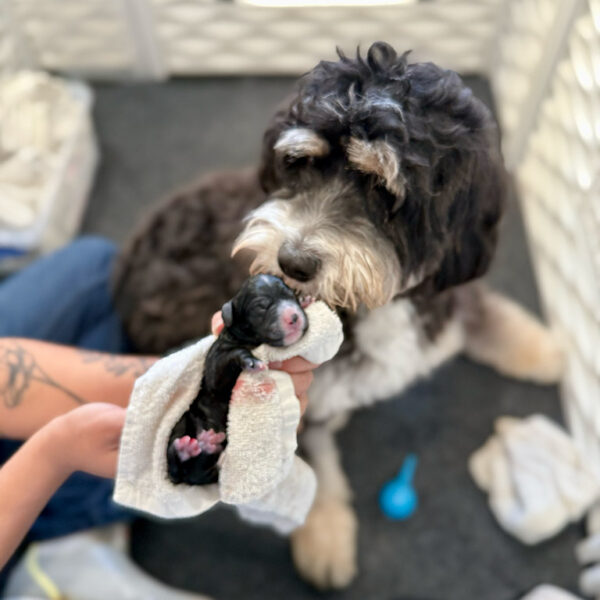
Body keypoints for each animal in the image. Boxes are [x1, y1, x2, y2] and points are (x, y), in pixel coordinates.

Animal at [168, 274, 310, 486]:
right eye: (262, 306)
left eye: (290, 294)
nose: (293, 316)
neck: (250, 339)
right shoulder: (216, 364)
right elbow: (235, 355)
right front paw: (251, 361)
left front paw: (306, 300)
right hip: (181, 423)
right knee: (176, 465)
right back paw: (183, 450)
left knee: (199, 472)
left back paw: (206, 446)